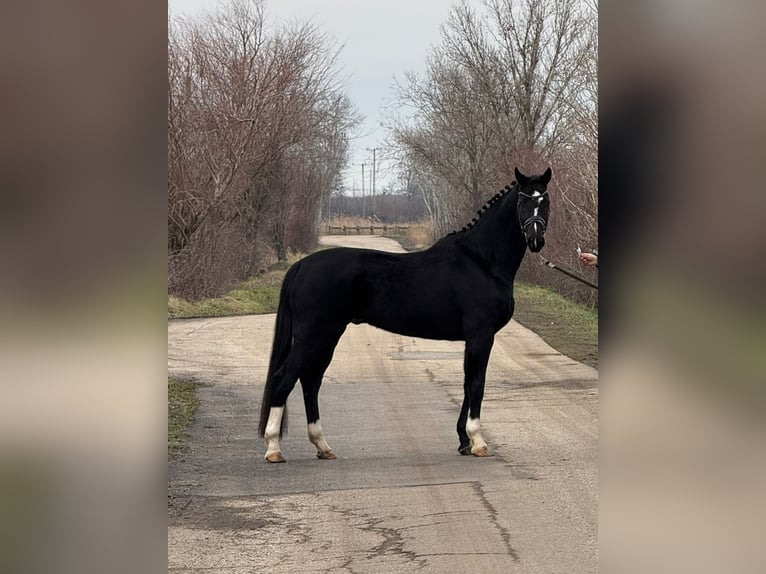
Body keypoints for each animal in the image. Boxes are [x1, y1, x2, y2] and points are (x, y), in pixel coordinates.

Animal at [258, 166, 552, 464]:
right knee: (284, 378)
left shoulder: (473, 339)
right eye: (522, 200)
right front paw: (478, 441)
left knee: (310, 380)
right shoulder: (481, 335)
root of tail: (301, 266)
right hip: (314, 335)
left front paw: (463, 440)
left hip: (328, 335)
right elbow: (477, 384)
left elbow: (467, 384)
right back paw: (273, 449)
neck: (481, 261)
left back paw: (322, 446)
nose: (536, 240)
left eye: (545, 201)